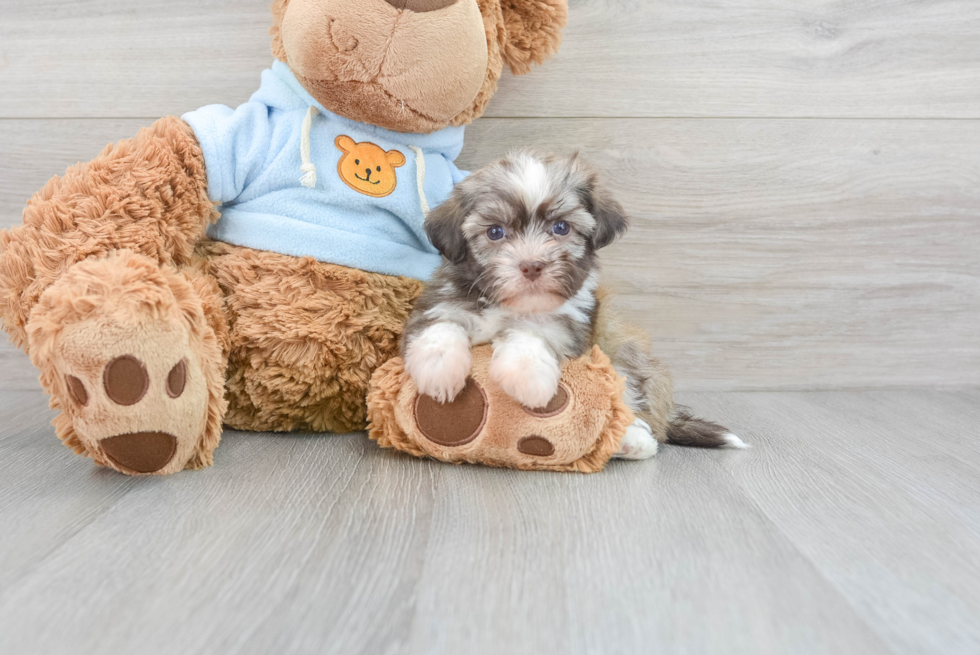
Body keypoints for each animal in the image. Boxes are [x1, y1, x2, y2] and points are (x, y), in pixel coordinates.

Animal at [402, 152, 748, 462]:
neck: (511, 305)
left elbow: (537, 331)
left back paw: (632, 440)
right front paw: (439, 368)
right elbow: (441, 323)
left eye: (561, 228)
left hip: (624, 355)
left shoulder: (574, 320)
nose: (531, 266)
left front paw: (527, 374)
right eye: (495, 232)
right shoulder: (439, 300)